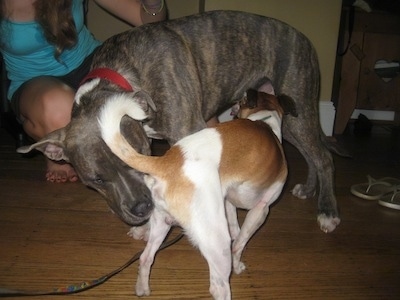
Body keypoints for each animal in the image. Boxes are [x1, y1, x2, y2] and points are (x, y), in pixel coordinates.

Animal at [99, 89, 288, 300]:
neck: (264, 121)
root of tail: (166, 162)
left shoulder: (228, 201)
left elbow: (236, 232)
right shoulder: (261, 210)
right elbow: (240, 242)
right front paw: (238, 264)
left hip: (162, 223)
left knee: (145, 257)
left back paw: (142, 288)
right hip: (217, 242)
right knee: (218, 285)